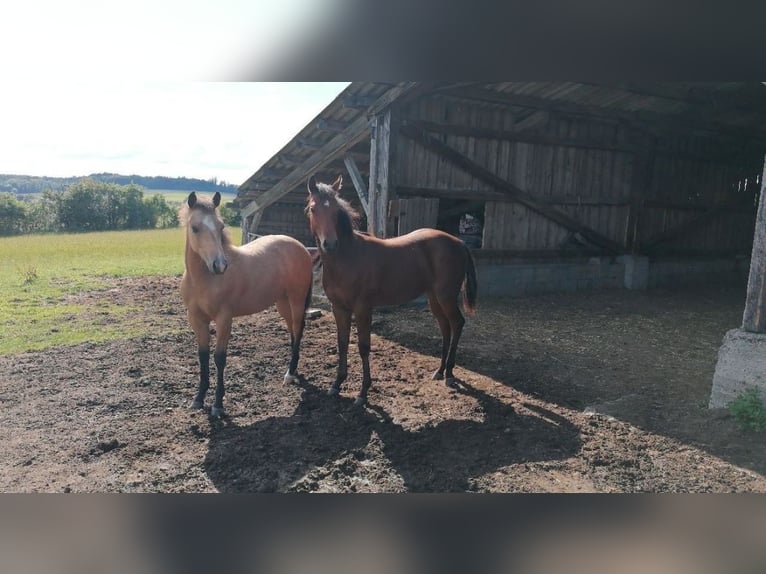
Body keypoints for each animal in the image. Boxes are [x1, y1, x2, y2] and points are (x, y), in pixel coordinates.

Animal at [180, 194, 312, 418]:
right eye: (195, 228)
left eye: (221, 225)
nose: (220, 265)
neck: (205, 280)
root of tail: (301, 247)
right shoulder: (197, 320)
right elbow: (203, 356)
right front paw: (198, 399)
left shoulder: (224, 319)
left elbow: (219, 358)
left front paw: (217, 405)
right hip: (282, 302)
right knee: (293, 331)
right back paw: (292, 371)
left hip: (296, 299)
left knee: (298, 328)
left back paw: (289, 374)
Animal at [308, 176, 476, 404]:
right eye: (313, 208)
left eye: (335, 209)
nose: (330, 244)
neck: (347, 258)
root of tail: (459, 242)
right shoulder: (339, 308)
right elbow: (342, 343)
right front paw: (336, 384)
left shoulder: (362, 308)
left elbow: (363, 346)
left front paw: (363, 392)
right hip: (434, 298)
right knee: (445, 327)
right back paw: (440, 371)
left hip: (446, 296)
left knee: (457, 323)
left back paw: (449, 374)